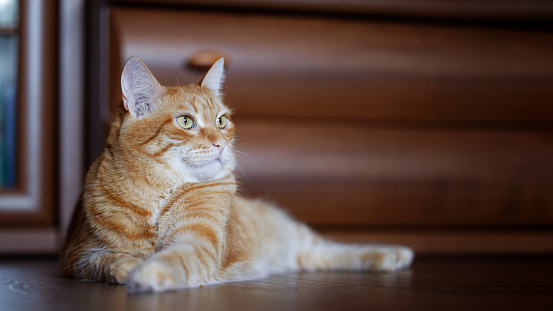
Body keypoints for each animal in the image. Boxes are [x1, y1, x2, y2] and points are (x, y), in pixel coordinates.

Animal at [61, 57, 414, 294]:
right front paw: (132, 265)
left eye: (221, 121)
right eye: (186, 122)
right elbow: (109, 261)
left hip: (298, 236)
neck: (157, 196)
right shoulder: (78, 256)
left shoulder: (198, 241)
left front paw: (149, 271)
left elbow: (174, 257)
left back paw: (393, 254)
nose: (220, 143)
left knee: (337, 248)